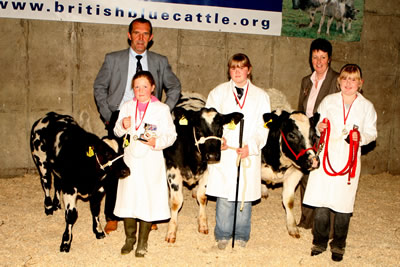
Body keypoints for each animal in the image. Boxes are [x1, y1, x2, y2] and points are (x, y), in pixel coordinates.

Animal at [29, 111, 130, 253]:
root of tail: (48, 115)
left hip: (57, 170)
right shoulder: (70, 188)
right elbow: (71, 215)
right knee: (46, 182)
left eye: (122, 151)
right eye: (106, 153)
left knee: (57, 183)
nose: (126, 170)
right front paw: (66, 242)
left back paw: (56, 204)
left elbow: (95, 210)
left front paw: (98, 231)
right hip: (41, 160)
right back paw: (48, 207)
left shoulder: (98, 189)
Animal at [163, 108, 244, 244]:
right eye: (198, 129)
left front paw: (203, 224)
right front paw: (171, 231)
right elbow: (175, 202)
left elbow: (202, 197)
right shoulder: (172, 170)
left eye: (220, 129)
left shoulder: (206, 172)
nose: (212, 156)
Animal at [260, 110, 320, 240]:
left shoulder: (295, 173)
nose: (314, 161)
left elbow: (288, 201)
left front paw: (292, 227)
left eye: (313, 136)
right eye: (292, 135)